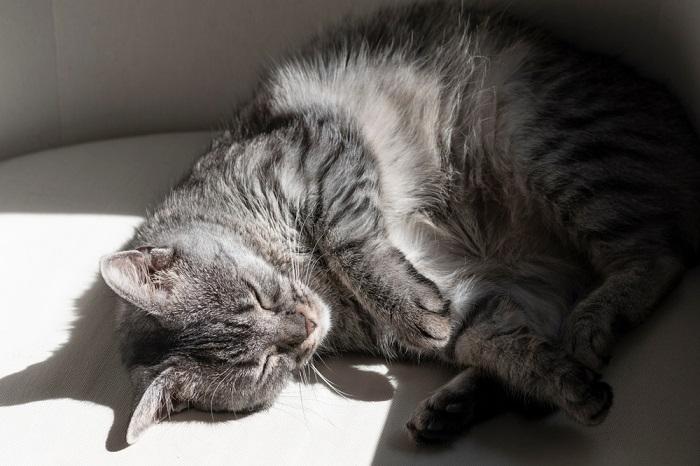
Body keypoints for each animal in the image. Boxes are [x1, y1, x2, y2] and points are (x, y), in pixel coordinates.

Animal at [98, 0, 700, 444]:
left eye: (260, 297)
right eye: (266, 365)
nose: (305, 328)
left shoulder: (325, 165)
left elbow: (354, 248)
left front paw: (404, 303)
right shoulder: (461, 299)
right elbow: (501, 348)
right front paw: (564, 386)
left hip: (548, 149)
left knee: (657, 256)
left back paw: (591, 322)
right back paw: (458, 405)